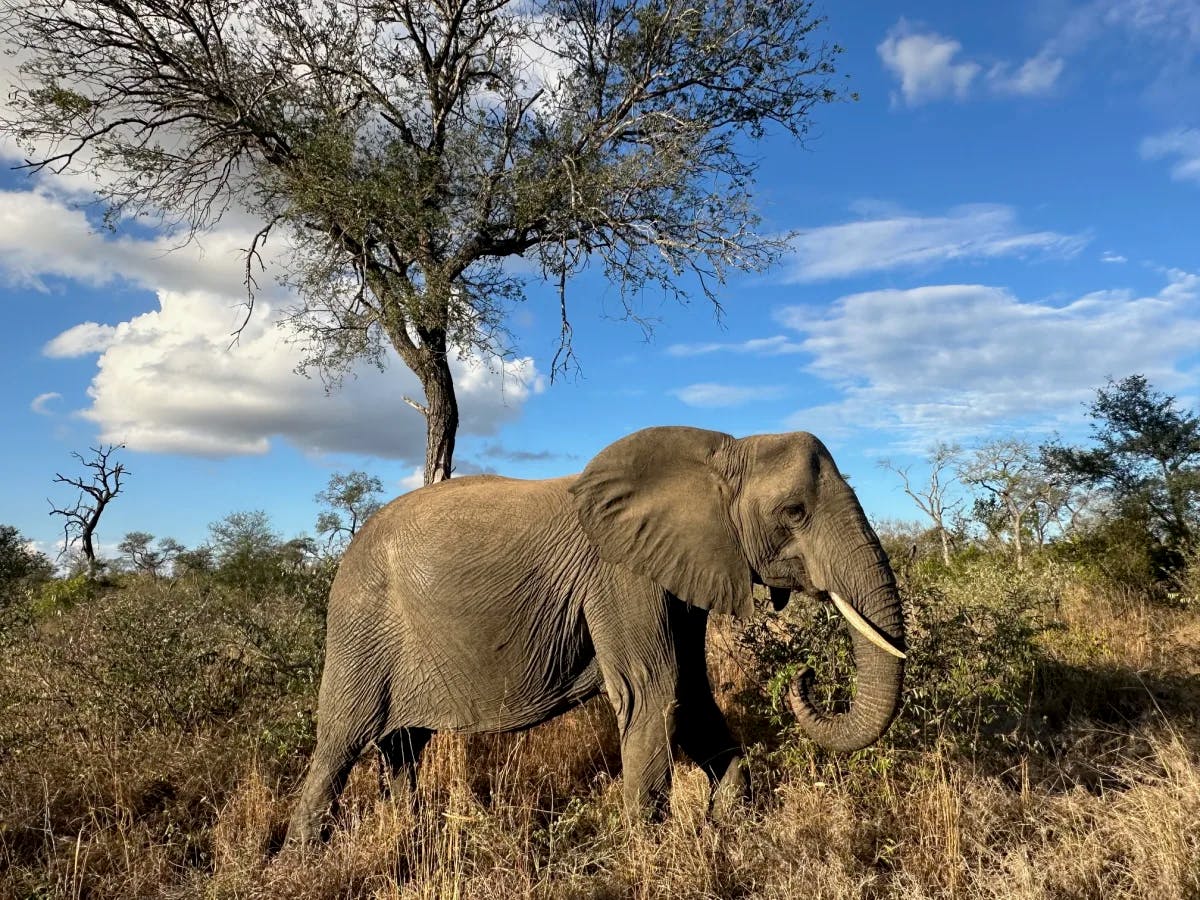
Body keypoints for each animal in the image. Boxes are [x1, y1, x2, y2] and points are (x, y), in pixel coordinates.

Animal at [288, 427, 902, 844]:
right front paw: (650, 850)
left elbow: (692, 693)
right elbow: (654, 692)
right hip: (362, 621)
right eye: (794, 512)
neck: (721, 451)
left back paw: (413, 838)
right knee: (340, 741)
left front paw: (728, 825)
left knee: (402, 746)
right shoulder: (621, 576)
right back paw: (304, 856)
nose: (805, 676)